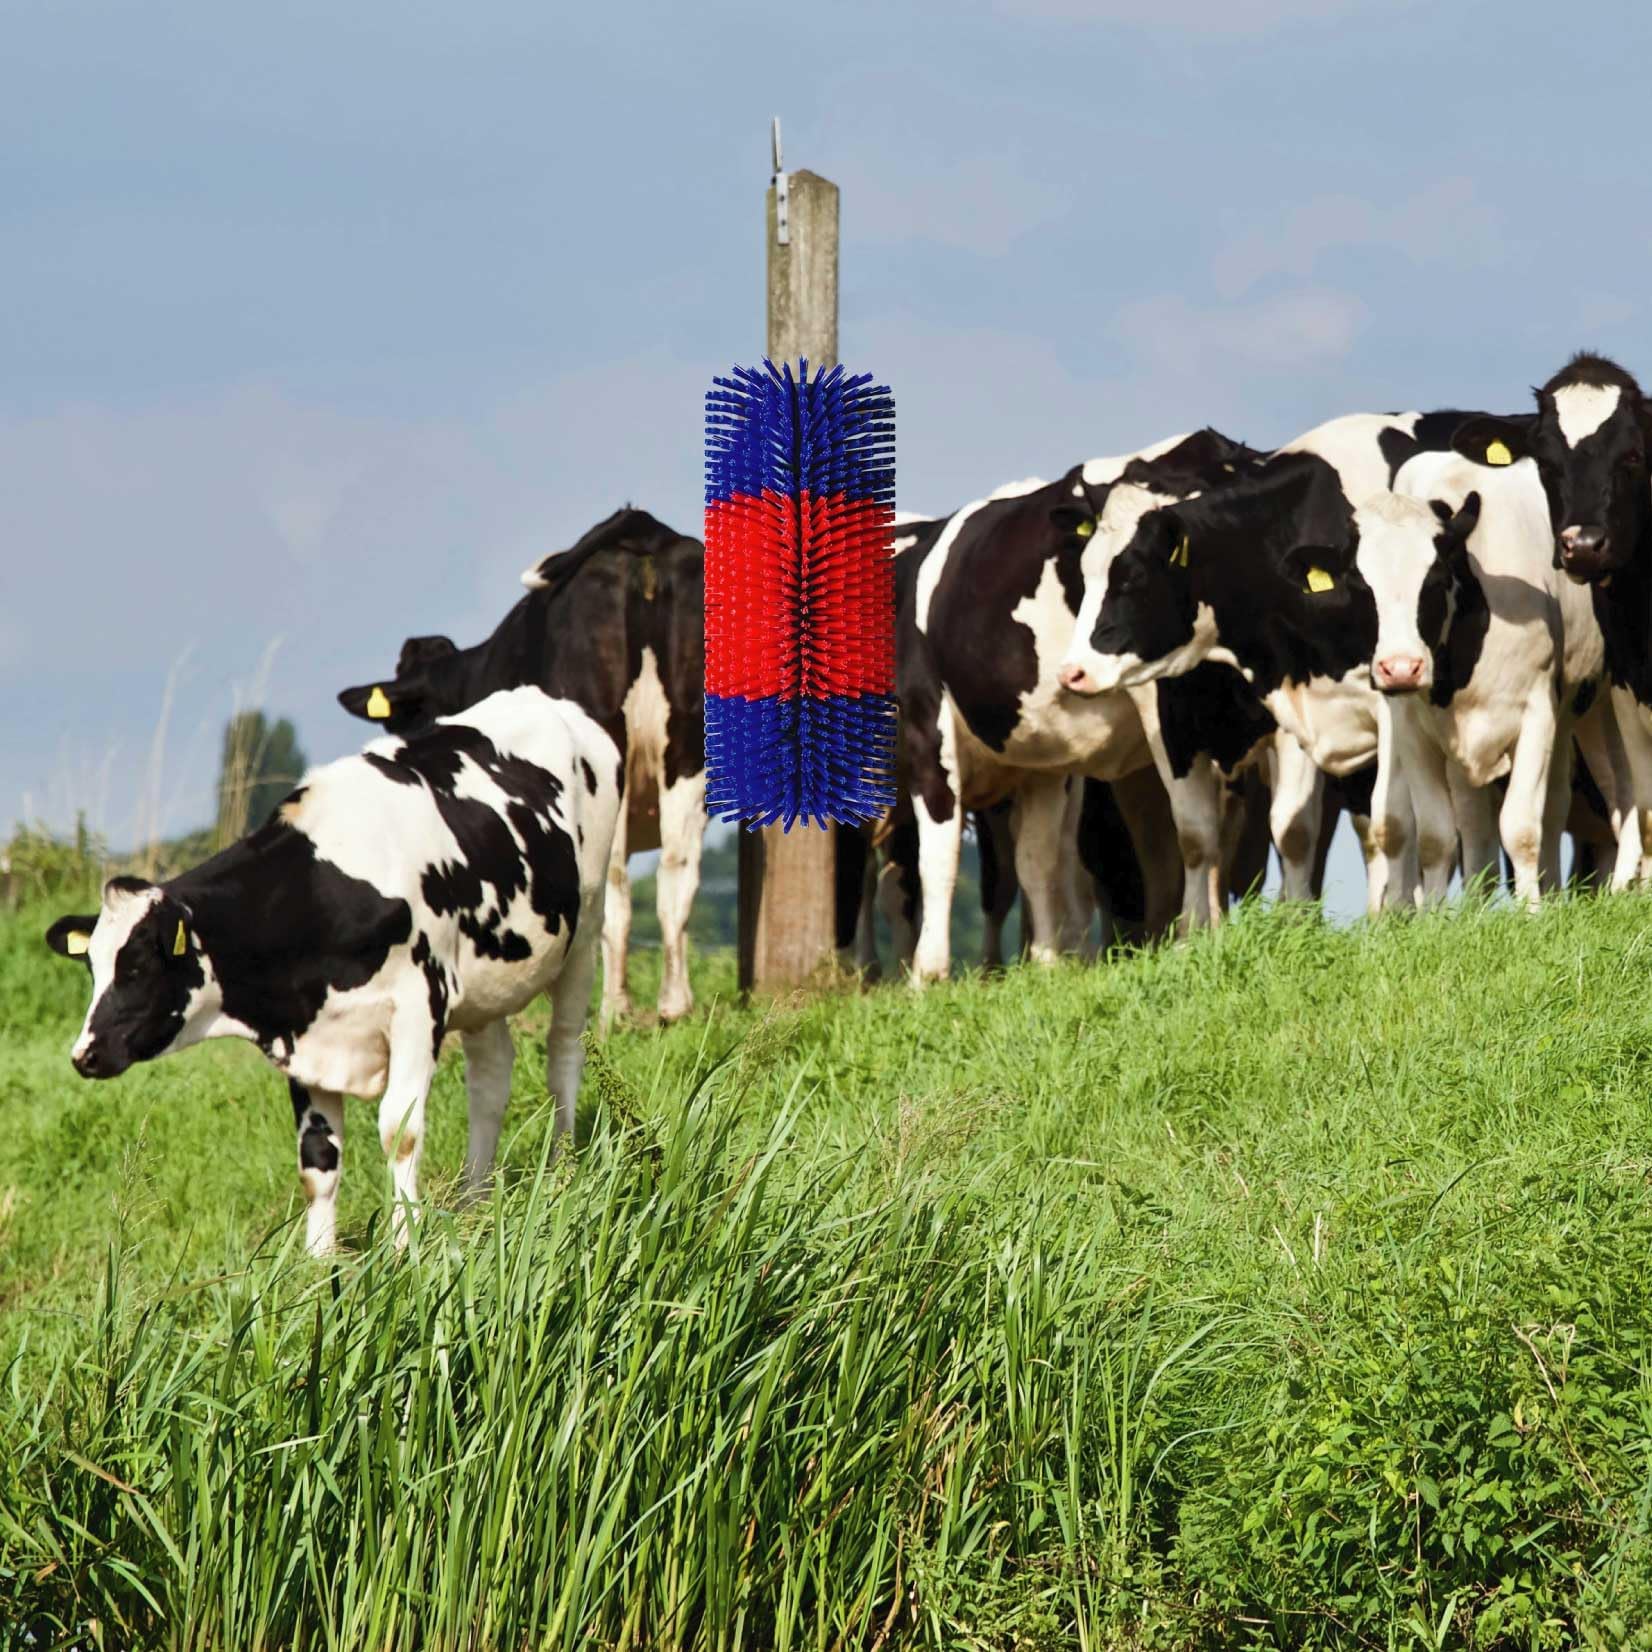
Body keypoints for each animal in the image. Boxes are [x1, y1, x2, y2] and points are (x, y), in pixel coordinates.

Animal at [46, 687, 621, 1257]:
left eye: (139, 965)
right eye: (93, 966)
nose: (84, 1054)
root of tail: (540, 697)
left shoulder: (419, 1005)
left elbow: (399, 1130)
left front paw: (404, 1246)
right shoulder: (306, 1034)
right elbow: (317, 1158)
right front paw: (317, 1262)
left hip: (585, 930)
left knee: (564, 1052)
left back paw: (562, 1171)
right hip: (486, 985)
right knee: (491, 1077)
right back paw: (473, 1201)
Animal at [339, 506, 705, 1029]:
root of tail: (643, 533)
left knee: (612, 881)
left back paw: (613, 1011)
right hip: (687, 751)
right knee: (677, 868)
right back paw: (674, 1005)